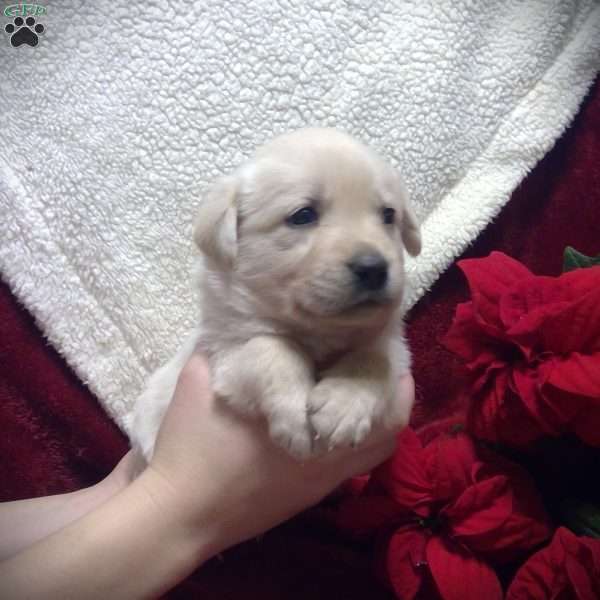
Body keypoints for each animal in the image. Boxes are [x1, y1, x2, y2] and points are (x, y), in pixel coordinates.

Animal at [131, 129, 422, 462]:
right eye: (303, 215)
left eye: (389, 215)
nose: (374, 268)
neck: (319, 332)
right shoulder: (225, 354)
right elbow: (271, 348)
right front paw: (295, 415)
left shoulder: (395, 346)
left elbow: (377, 357)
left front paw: (343, 404)